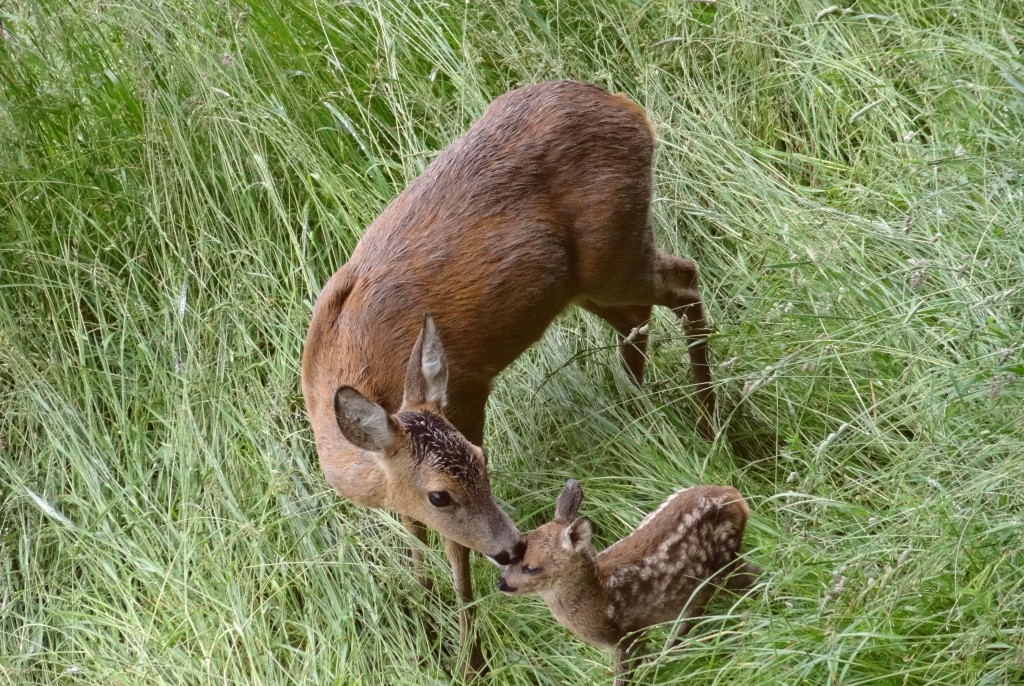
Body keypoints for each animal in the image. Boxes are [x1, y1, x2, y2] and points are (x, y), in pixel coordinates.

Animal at [299, 79, 716, 671]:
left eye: (482, 459)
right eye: (439, 496)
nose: (513, 547)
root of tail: (630, 110)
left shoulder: (467, 392)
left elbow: (455, 558)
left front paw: (471, 659)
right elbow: (415, 543)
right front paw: (429, 634)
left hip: (615, 253)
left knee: (685, 280)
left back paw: (714, 426)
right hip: (588, 282)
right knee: (639, 321)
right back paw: (646, 414)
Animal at [497, 481, 761, 683]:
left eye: (531, 567)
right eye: (515, 556)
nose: (501, 583)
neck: (599, 597)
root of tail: (736, 496)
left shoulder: (629, 633)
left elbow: (624, 677)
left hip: (723, 564)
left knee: (755, 577)